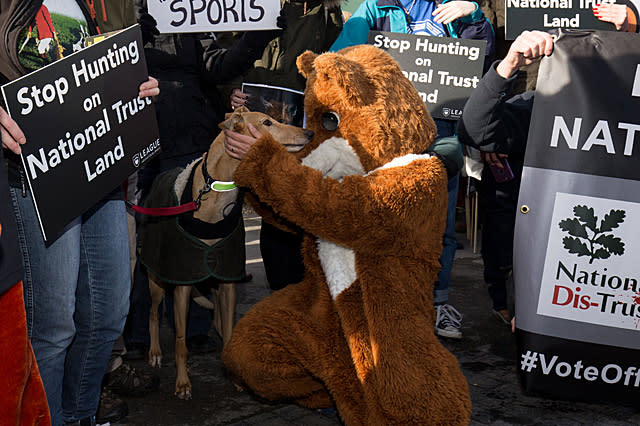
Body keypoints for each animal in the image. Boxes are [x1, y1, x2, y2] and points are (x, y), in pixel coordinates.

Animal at [139, 107, 312, 400]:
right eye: (267, 122)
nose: (309, 132)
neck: (217, 192)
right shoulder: (182, 285)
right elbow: (181, 342)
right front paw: (183, 384)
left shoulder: (229, 281)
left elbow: (230, 330)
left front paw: (235, 376)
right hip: (157, 279)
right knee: (152, 313)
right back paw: (154, 353)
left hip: (214, 284)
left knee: (219, 320)